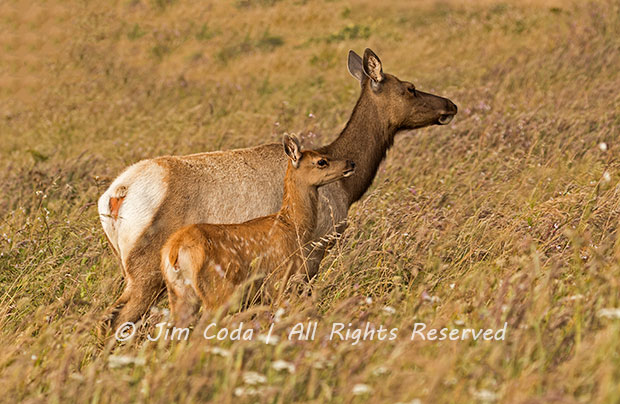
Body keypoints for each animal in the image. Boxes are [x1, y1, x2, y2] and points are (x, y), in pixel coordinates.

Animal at [97, 49, 456, 330]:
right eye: (410, 88)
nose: (450, 105)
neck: (348, 187)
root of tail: (116, 196)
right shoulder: (314, 248)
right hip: (147, 271)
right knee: (116, 320)